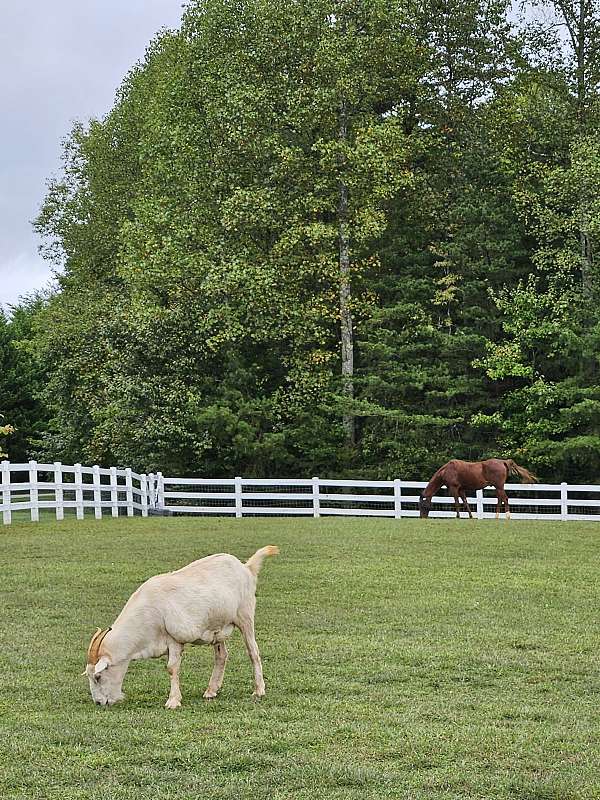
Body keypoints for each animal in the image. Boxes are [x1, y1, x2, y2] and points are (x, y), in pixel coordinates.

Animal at [84, 544, 278, 708]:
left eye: (98, 676)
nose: (99, 702)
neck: (149, 611)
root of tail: (246, 568)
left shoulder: (174, 639)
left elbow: (171, 668)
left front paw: (173, 701)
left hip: (245, 615)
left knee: (253, 651)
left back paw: (259, 690)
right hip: (217, 627)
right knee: (222, 655)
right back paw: (211, 691)